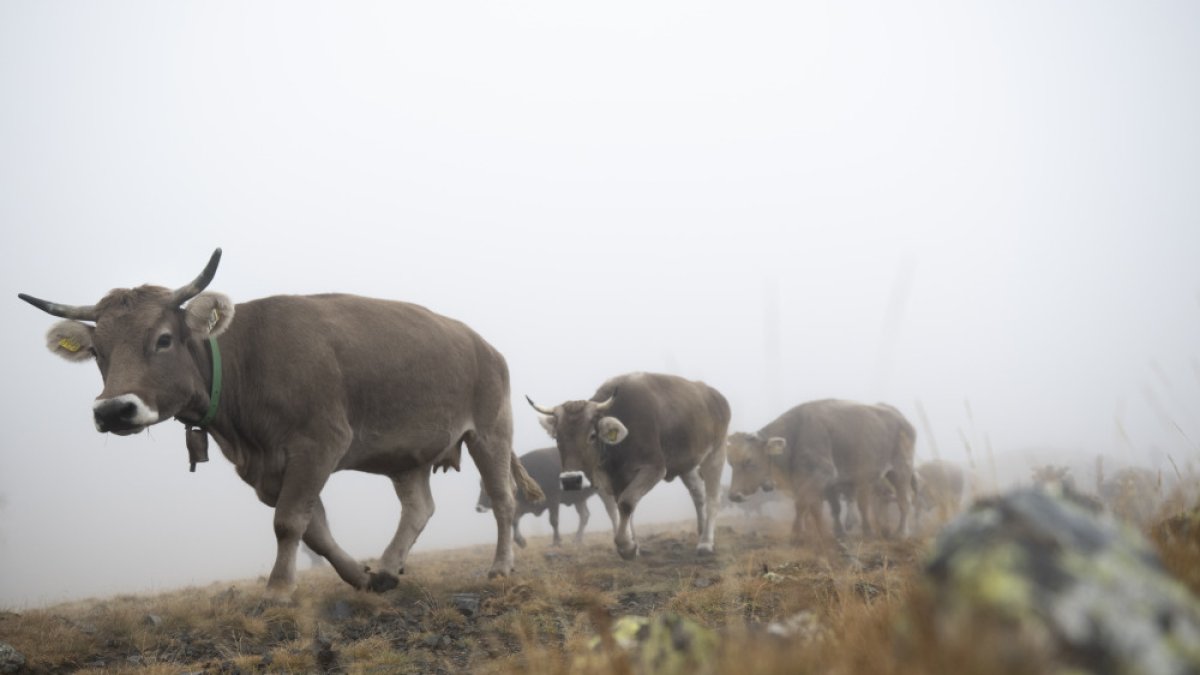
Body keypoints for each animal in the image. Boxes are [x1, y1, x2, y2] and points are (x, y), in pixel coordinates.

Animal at [17, 247, 544, 593]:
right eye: (97, 352)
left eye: (163, 338)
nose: (112, 410)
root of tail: (481, 343)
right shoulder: (267, 467)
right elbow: (314, 529)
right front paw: (359, 576)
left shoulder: (320, 444)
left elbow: (289, 522)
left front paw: (277, 591)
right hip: (407, 454)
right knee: (418, 508)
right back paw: (388, 568)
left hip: (491, 432)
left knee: (502, 499)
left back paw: (500, 567)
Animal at [472, 446, 619, 547]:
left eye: (490, 489)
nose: (479, 507)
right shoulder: (526, 505)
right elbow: (515, 520)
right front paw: (521, 541)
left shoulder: (553, 499)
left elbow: (554, 520)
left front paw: (556, 542)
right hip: (579, 499)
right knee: (584, 515)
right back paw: (577, 539)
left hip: (603, 491)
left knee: (611, 512)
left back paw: (616, 533)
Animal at [528, 367, 729, 557]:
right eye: (557, 438)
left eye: (592, 435)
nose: (571, 480)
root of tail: (716, 396)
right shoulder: (611, 478)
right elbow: (621, 508)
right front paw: (634, 545)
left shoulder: (654, 468)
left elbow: (626, 503)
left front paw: (626, 546)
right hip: (686, 463)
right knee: (698, 495)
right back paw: (701, 532)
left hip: (716, 453)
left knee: (713, 498)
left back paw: (706, 543)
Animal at [720, 398, 916, 540]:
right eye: (730, 463)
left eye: (749, 461)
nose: (734, 496)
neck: (797, 433)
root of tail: (902, 419)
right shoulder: (825, 484)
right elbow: (826, 508)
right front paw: (834, 533)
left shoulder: (822, 474)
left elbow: (802, 504)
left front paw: (797, 532)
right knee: (865, 503)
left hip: (901, 469)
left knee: (904, 501)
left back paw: (901, 533)